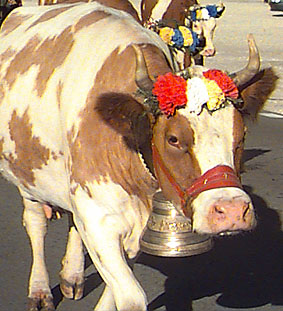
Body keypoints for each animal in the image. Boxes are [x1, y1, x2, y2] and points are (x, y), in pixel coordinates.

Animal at [0, 1, 278, 310]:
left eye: (241, 135)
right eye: (173, 139)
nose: (231, 211)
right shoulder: (98, 218)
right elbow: (131, 296)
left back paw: (72, 276)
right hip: (27, 175)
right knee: (36, 224)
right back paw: (39, 291)